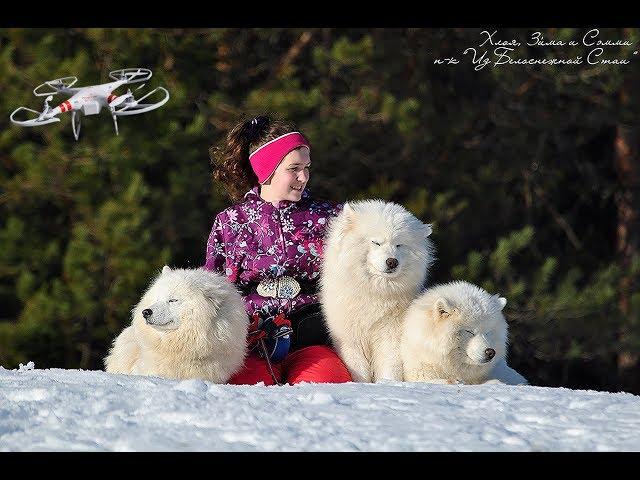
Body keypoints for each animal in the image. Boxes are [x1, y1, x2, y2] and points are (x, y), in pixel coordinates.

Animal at [320, 200, 436, 382]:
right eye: (376, 242)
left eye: (399, 245)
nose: (392, 262)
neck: (374, 293)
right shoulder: (350, 339)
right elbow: (358, 370)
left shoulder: (390, 334)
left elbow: (390, 366)